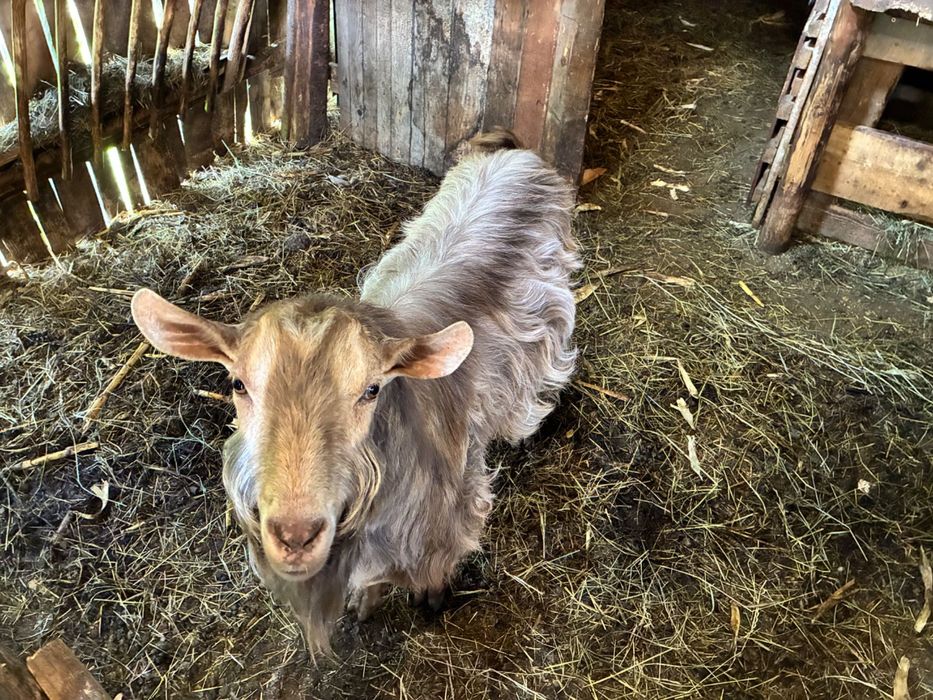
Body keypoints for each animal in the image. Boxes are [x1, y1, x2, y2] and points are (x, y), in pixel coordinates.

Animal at [131, 131, 580, 654]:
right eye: (238, 385)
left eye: (371, 390)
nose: (295, 534)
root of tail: (510, 150)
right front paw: (363, 605)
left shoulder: (448, 510)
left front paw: (428, 599)